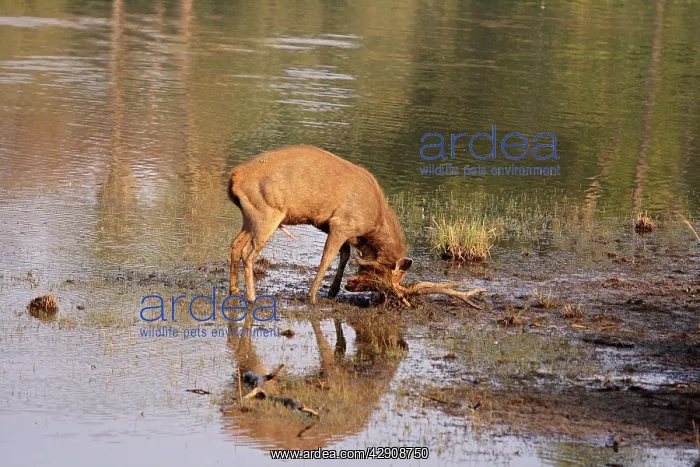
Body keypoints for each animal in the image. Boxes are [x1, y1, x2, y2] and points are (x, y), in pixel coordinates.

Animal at [227, 145, 485, 307]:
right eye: (381, 276)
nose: (352, 286)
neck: (372, 226)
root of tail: (234, 178)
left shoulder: (334, 227)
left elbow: (344, 255)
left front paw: (332, 291)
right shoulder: (342, 224)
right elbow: (326, 259)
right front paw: (312, 297)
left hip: (249, 216)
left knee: (235, 245)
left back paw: (234, 290)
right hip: (267, 213)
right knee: (249, 252)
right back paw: (251, 297)